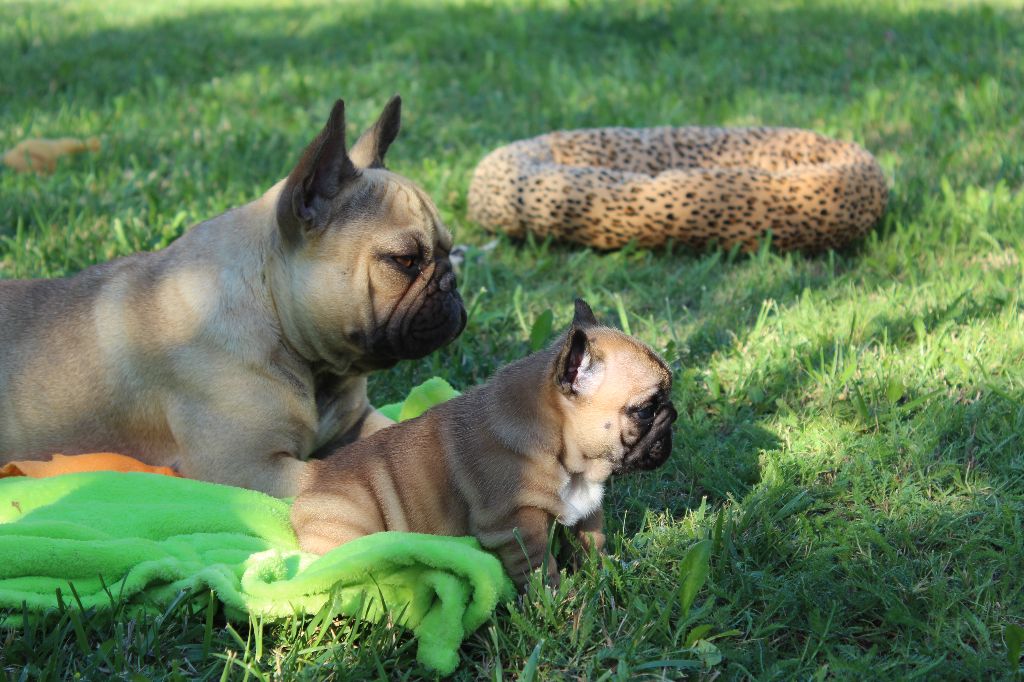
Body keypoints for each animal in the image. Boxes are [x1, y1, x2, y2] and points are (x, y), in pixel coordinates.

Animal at [292, 301, 675, 585]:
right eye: (646, 410)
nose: (672, 415)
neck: (562, 452)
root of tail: (312, 476)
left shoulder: (588, 508)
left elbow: (592, 539)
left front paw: (604, 570)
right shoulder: (517, 525)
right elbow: (540, 567)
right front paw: (556, 600)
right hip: (348, 524)